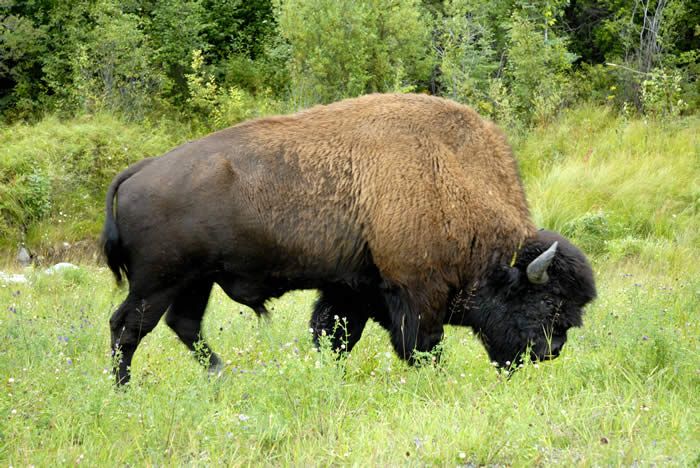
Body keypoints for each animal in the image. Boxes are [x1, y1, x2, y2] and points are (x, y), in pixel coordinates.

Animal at [102, 93, 596, 384]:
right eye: (546, 302)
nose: (551, 351)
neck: (451, 178)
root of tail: (140, 170)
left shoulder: (353, 288)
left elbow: (334, 334)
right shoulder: (415, 291)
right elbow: (421, 344)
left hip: (194, 281)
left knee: (183, 325)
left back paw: (220, 374)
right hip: (158, 282)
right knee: (128, 326)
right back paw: (124, 387)